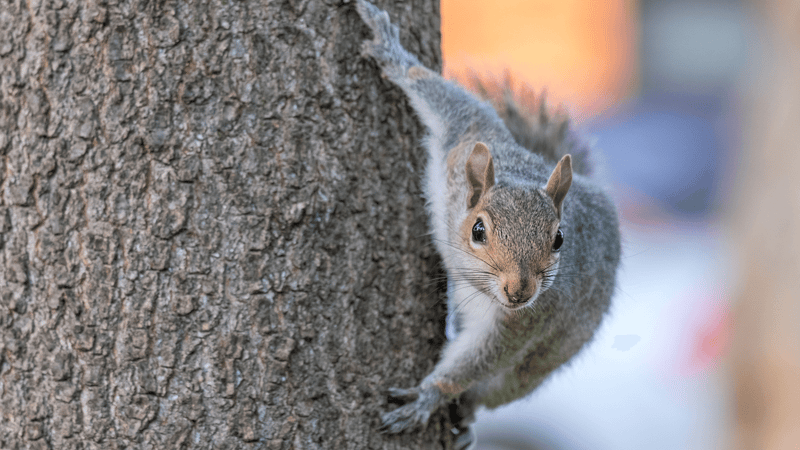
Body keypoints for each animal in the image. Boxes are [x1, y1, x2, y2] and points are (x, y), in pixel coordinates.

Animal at [355, 1, 621, 448]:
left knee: (493, 387)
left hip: (537, 365)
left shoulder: (529, 318)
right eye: (478, 231)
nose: (519, 290)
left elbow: (480, 359)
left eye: (559, 239)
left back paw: (466, 416)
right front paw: (391, 52)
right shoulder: (465, 138)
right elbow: (442, 96)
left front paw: (428, 397)